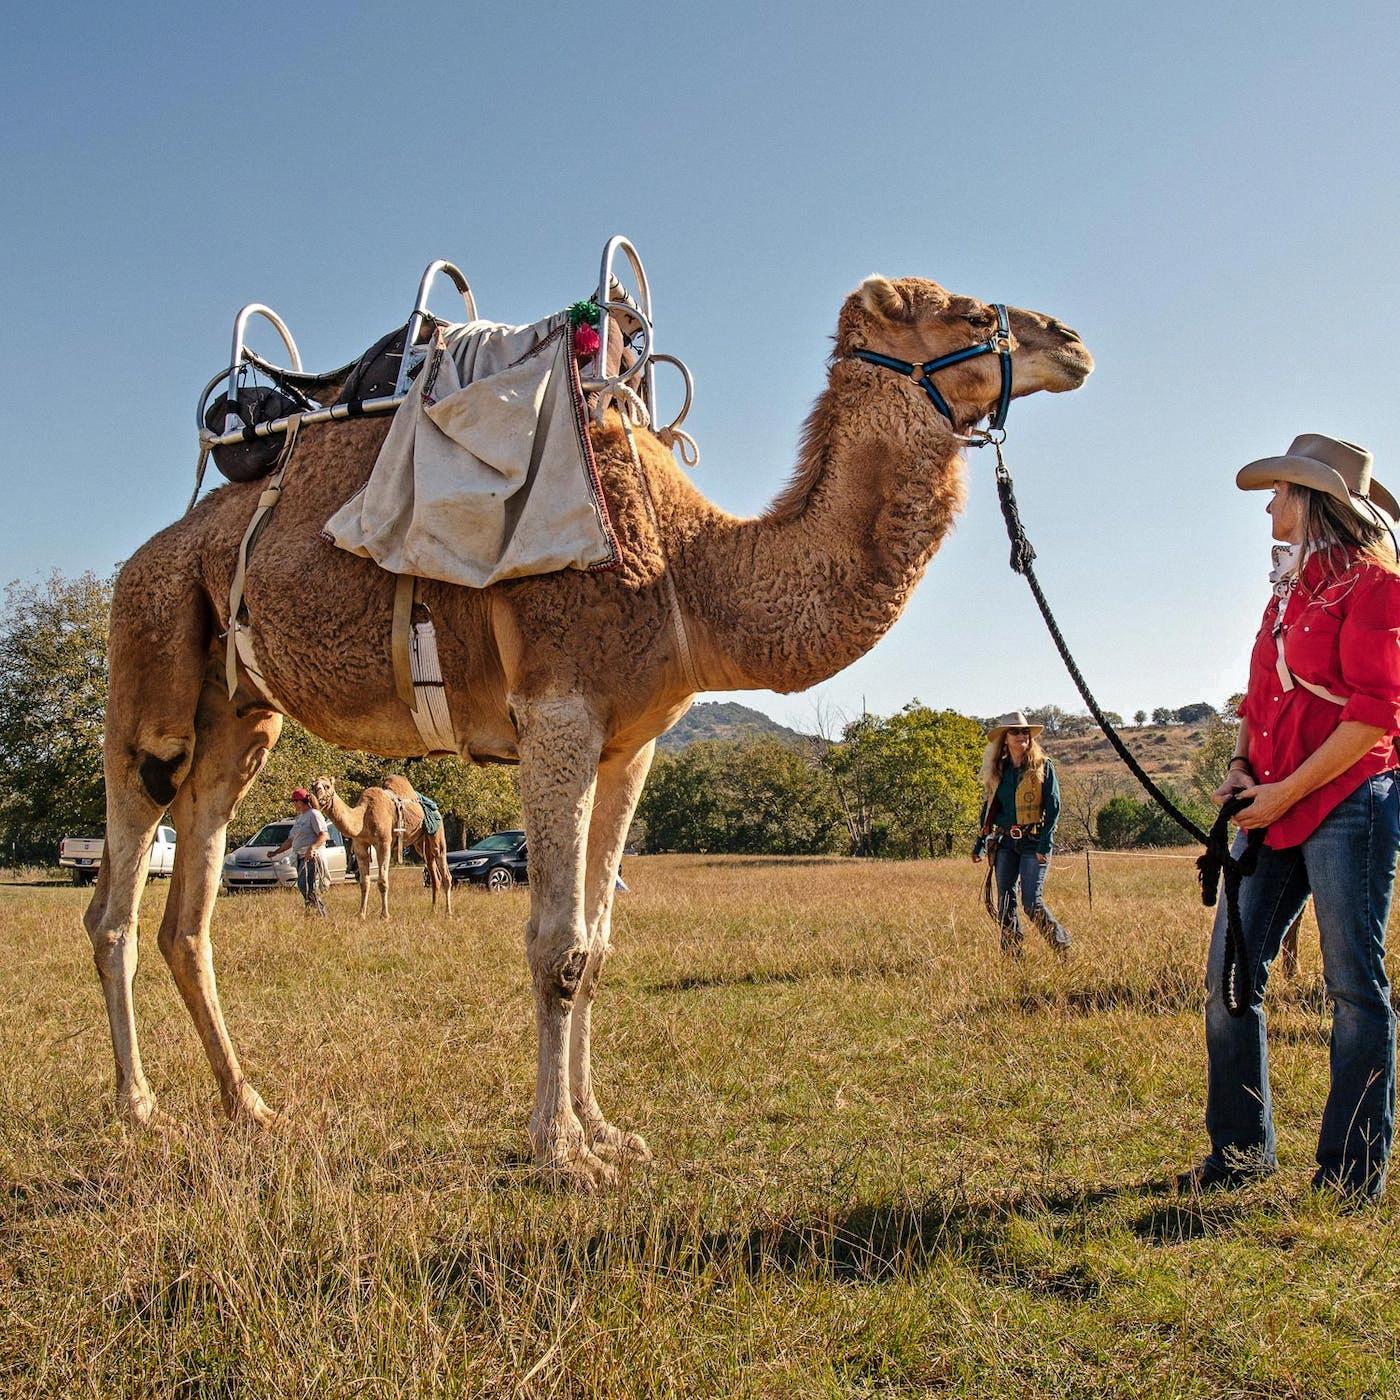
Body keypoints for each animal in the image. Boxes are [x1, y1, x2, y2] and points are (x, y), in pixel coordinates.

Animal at [308, 778, 453, 918]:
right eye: (313, 785)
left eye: (327, 786)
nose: (314, 799)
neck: (364, 817)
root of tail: (436, 807)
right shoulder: (360, 845)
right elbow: (364, 882)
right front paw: (361, 914)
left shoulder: (383, 843)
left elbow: (382, 881)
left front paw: (385, 915)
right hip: (421, 843)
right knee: (435, 876)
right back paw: (433, 911)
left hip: (437, 832)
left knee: (445, 871)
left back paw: (448, 912)